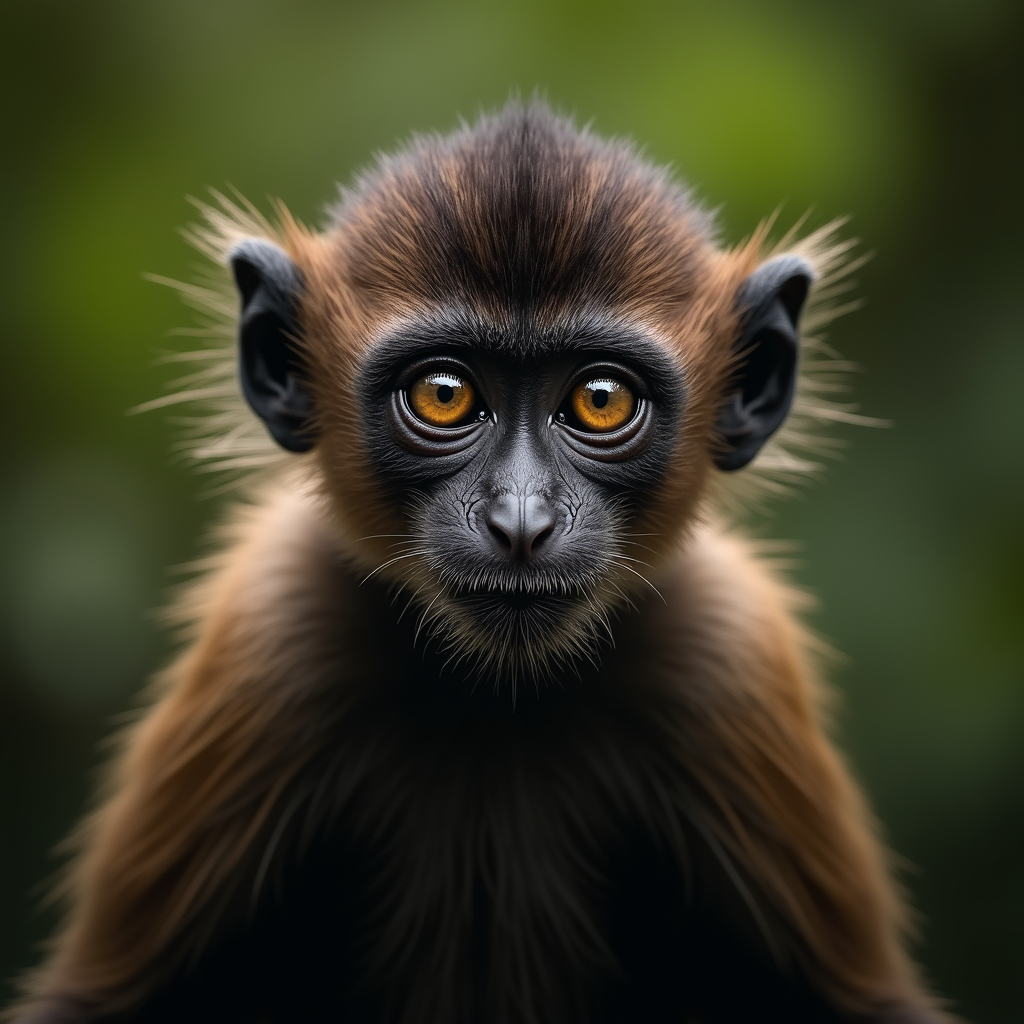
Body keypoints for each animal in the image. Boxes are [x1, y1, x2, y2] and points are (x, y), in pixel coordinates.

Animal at [10, 102, 951, 1024]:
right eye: (444, 395)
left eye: (600, 402)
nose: (521, 521)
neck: (498, 702)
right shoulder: (275, 631)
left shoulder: (727, 654)